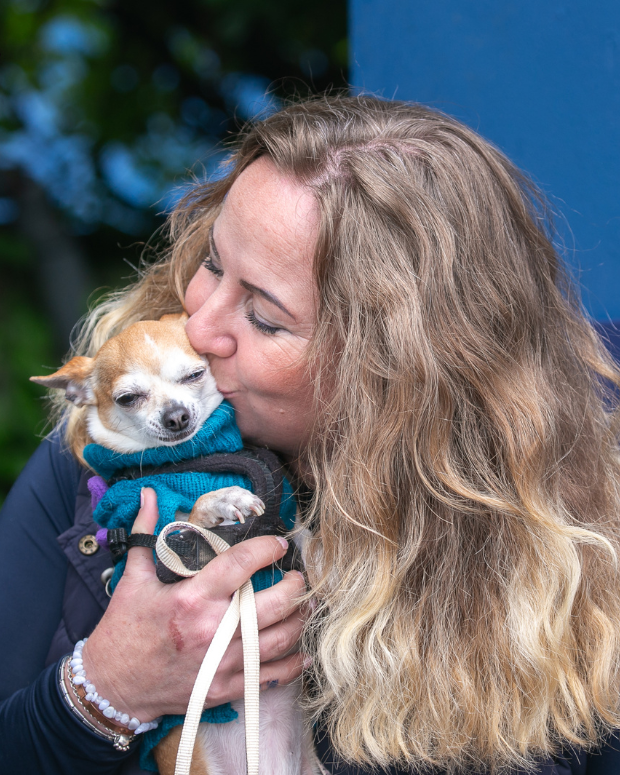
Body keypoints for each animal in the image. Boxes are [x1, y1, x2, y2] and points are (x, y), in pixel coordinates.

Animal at [30, 314, 320, 775]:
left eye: (195, 375)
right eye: (127, 398)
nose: (176, 415)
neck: (187, 460)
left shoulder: (285, 522)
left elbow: (303, 538)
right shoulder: (164, 550)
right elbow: (188, 519)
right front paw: (221, 501)